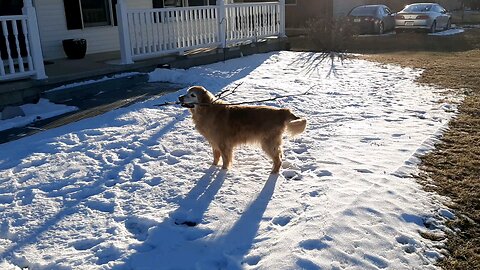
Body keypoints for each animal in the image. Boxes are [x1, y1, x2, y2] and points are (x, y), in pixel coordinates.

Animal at [178, 87, 306, 175]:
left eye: (192, 95)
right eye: (187, 92)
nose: (180, 97)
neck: (207, 110)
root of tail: (283, 111)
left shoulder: (224, 144)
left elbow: (225, 160)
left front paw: (223, 171)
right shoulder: (214, 143)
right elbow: (216, 157)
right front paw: (213, 167)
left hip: (268, 143)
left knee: (278, 159)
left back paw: (273, 173)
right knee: (279, 155)